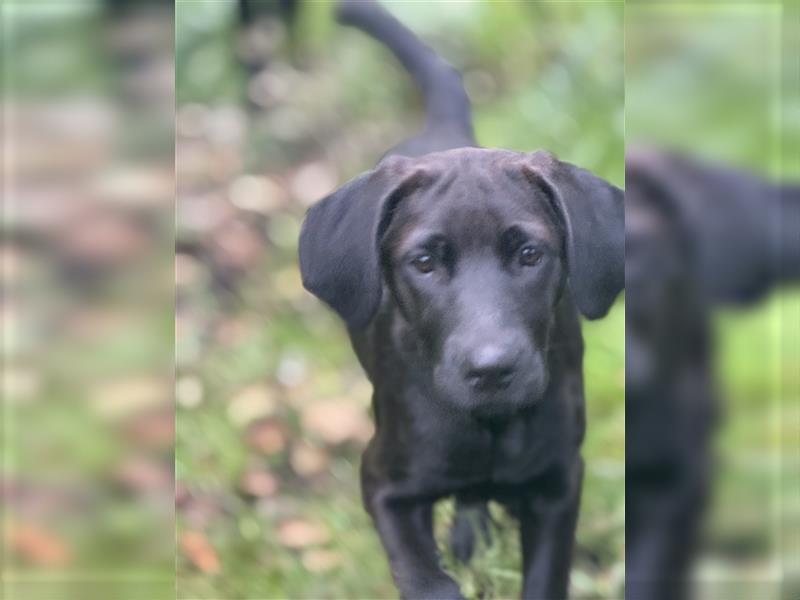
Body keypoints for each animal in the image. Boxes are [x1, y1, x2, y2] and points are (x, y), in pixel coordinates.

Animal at [298, 2, 624, 596]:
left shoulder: (559, 485)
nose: (492, 370)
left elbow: (545, 577)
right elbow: (427, 580)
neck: (488, 426)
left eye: (530, 255)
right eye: (425, 262)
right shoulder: (383, 483)